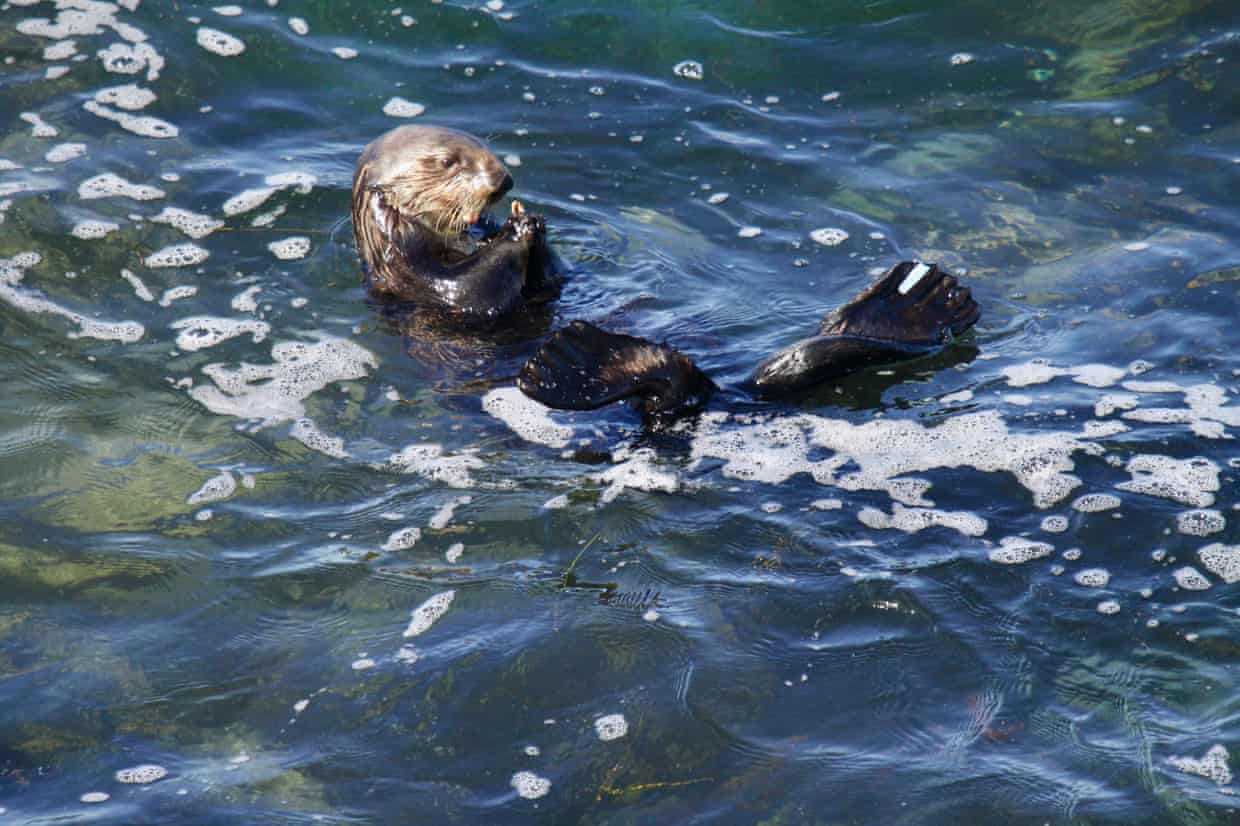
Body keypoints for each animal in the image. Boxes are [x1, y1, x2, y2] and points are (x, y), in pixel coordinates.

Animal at [351, 125, 980, 423]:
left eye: (485, 147)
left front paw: (527, 221)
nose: (504, 180)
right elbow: (472, 291)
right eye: (447, 162)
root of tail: (730, 393)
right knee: (670, 389)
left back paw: (920, 299)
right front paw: (516, 230)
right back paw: (575, 358)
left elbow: (547, 281)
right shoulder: (416, 278)